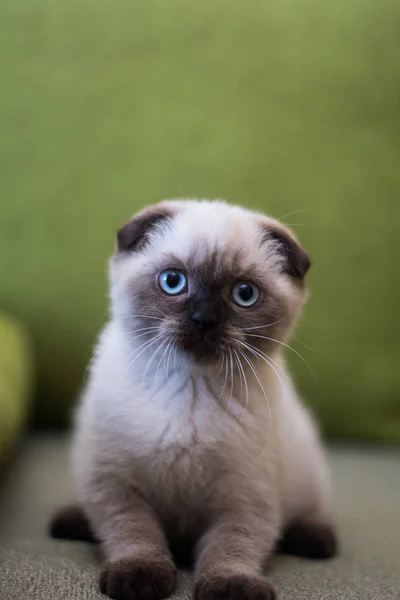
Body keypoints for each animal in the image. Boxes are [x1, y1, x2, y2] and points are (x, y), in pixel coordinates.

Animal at [50, 200, 338, 600]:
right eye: (173, 281)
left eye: (244, 294)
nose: (205, 319)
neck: (190, 389)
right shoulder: (117, 486)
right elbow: (135, 535)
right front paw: (138, 579)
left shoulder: (244, 500)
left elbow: (231, 548)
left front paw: (232, 587)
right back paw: (71, 522)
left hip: (306, 472)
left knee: (313, 511)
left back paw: (316, 540)